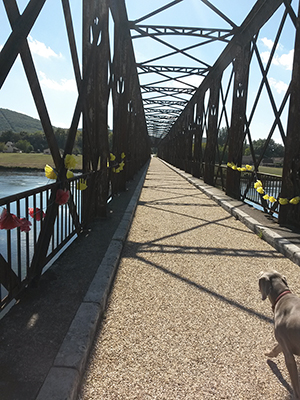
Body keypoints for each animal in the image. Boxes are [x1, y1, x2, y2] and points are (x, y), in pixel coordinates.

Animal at [258, 270, 300, 398]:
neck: (283, 295)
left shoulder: (288, 353)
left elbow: (295, 385)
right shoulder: (283, 341)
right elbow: (276, 348)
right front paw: (268, 354)